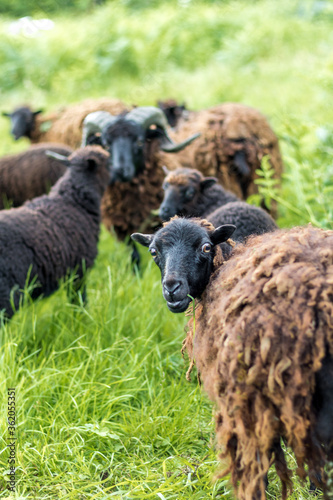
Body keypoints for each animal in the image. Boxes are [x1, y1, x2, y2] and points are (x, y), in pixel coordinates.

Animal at [0, 145, 110, 318]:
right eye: (108, 162)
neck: (73, 201)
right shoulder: (79, 271)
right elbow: (79, 300)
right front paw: (82, 317)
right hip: (6, 294)